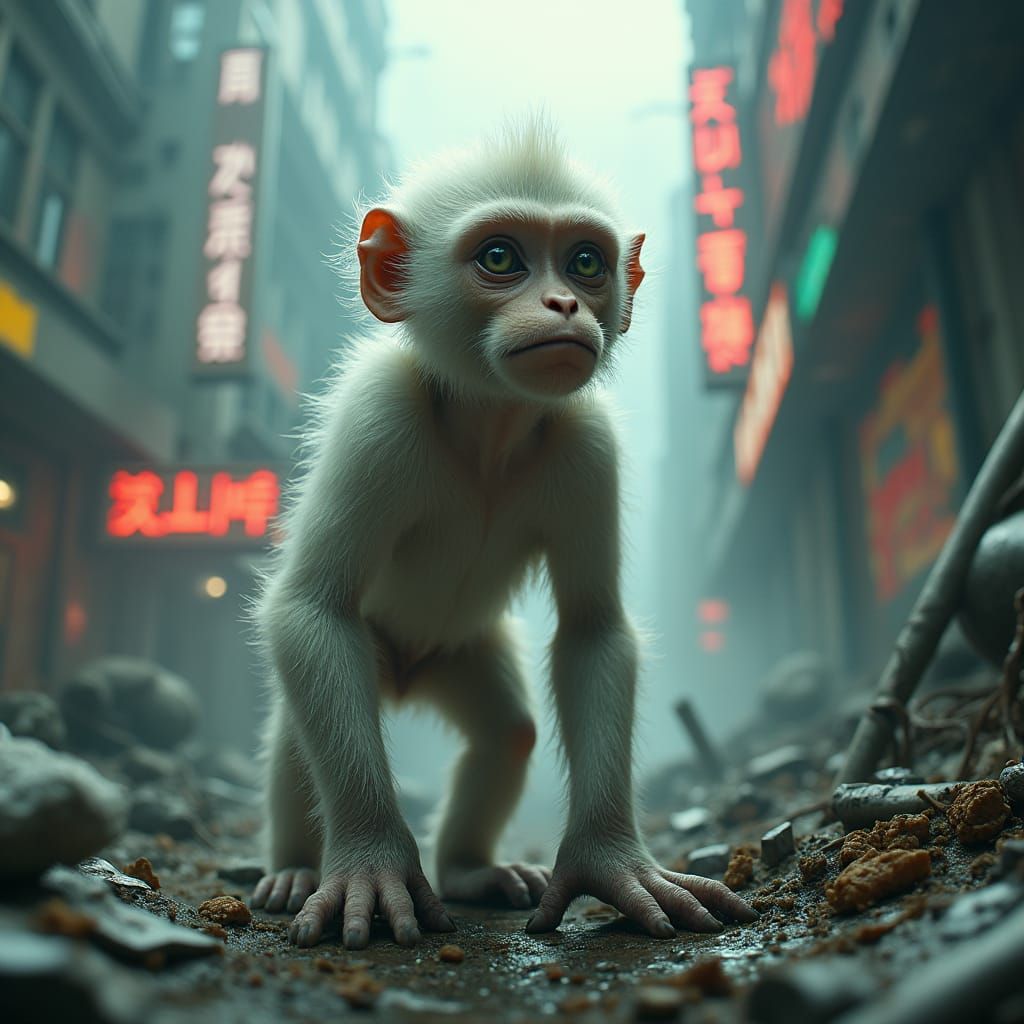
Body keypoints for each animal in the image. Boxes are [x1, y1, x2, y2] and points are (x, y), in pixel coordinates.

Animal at [250, 120, 756, 949]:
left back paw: (468, 871)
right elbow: (311, 610)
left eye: (585, 263)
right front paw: (370, 864)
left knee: (508, 732)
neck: (488, 428)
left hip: (460, 655)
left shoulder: (588, 445)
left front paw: (609, 860)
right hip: (375, 654)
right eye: (499, 258)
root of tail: (406, 675)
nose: (564, 303)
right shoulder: (377, 414)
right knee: (304, 730)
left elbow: (591, 632)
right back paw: (296, 867)